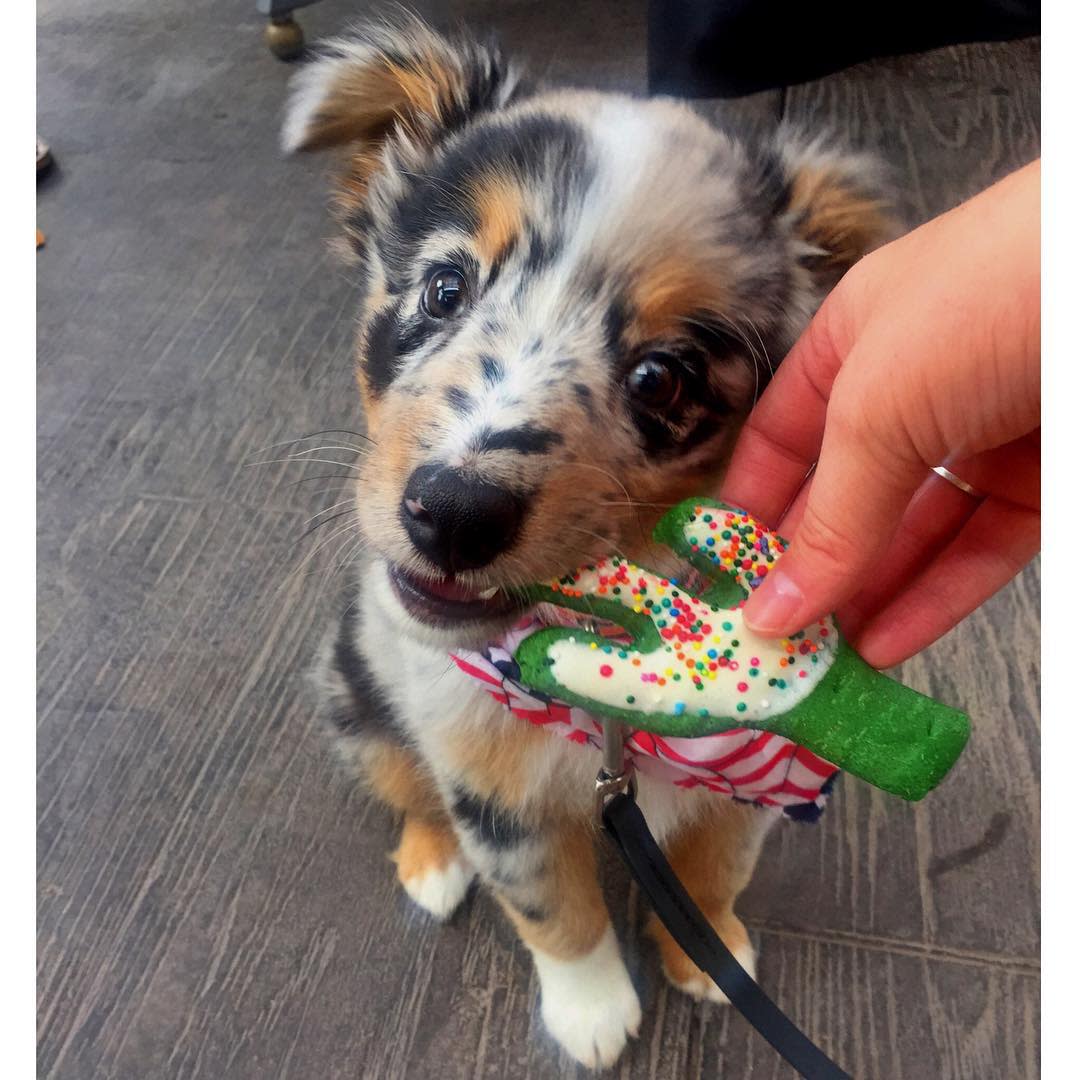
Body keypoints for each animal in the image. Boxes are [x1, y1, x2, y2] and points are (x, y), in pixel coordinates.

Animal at [282, 19, 889, 1071]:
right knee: (406, 789)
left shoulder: (746, 772)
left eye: (660, 377)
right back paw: (432, 867)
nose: (452, 511)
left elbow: (716, 866)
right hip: (356, 695)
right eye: (444, 288)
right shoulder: (492, 787)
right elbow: (552, 909)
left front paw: (712, 953)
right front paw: (592, 1013)